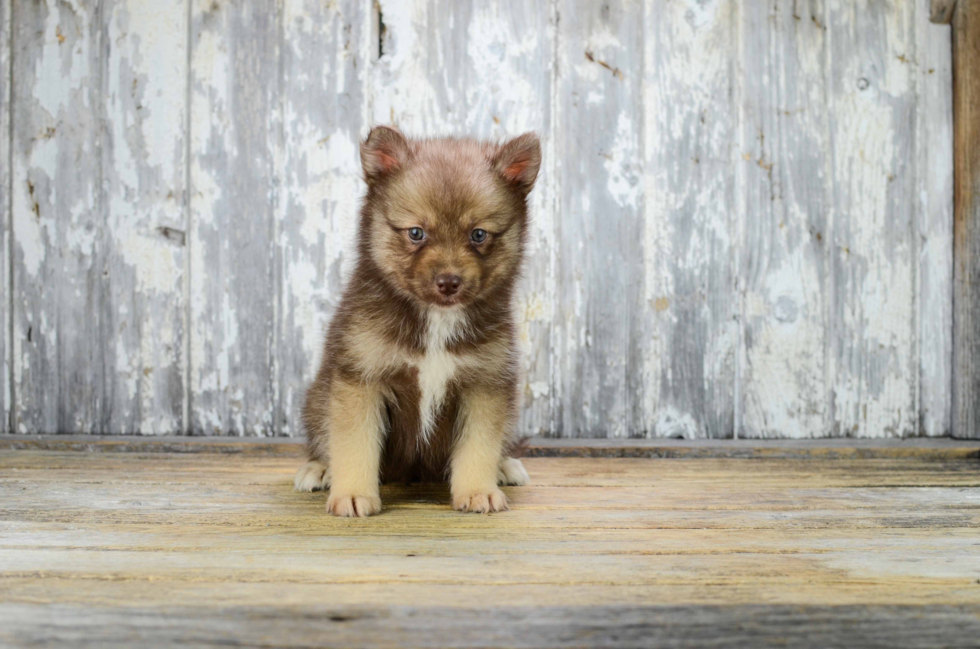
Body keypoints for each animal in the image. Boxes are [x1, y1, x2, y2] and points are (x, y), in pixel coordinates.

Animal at [296, 125, 544, 516]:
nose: (448, 281)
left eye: (478, 234)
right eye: (416, 233)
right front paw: (352, 493)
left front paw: (478, 491)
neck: (436, 321)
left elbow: (478, 447)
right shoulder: (362, 380)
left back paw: (505, 467)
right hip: (318, 398)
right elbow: (354, 445)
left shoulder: (484, 384)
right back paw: (319, 469)